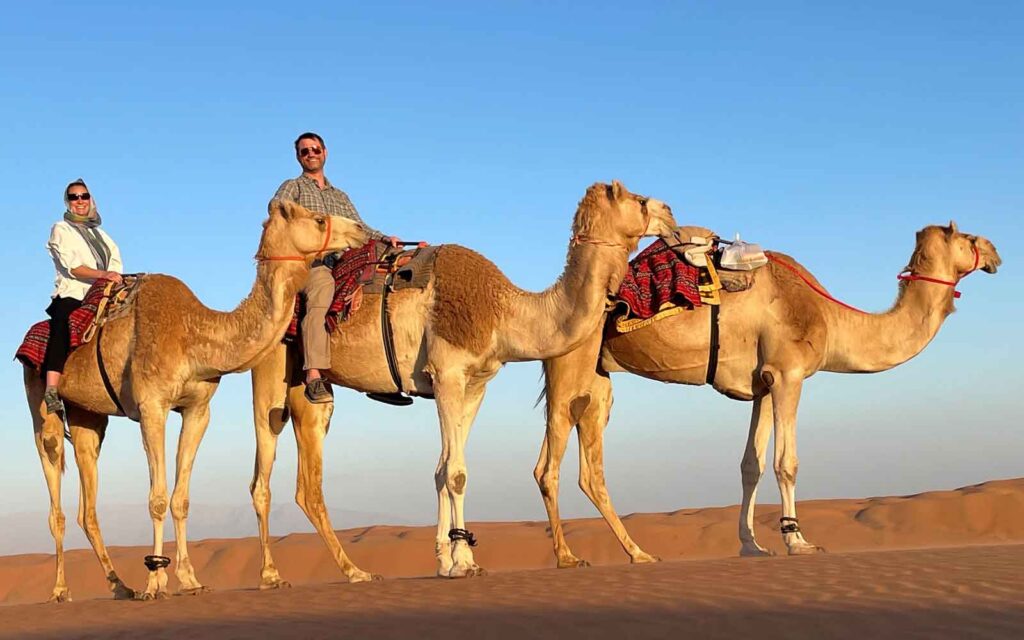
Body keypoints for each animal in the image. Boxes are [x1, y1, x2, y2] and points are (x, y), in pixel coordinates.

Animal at [22, 200, 367, 602]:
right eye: (319, 219)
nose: (360, 230)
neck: (197, 337)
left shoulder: (197, 410)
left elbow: (180, 499)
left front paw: (189, 579)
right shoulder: (152, 407)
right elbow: (157, 498)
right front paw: (155, 583)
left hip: (88, 416)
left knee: (87, 503)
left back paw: (120, 586)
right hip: (39, 400)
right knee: (53, 480)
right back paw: (61, 590)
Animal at [249, 181, 680, 585]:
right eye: (639, 200)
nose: (670, 213)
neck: (502, 312)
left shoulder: (476, 384)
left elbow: (443, 470)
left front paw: (451, 559)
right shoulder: (447, 374)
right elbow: (456, 472)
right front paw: (464, 564)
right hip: (273, 370)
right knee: (272, 472)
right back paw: (283, 575)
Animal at [535, 222, 1001, 567]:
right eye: (967, 237)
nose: (995, 252)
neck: (826, 314)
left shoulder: (762, 384)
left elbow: (751, 465)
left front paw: (752, 545)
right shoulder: (788, 373)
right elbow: (786, 463)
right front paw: (798, 541)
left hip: (597, 380)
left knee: (582, 466)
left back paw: (636, 552)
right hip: (572, 367)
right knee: (551, 467)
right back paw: (570, 557)